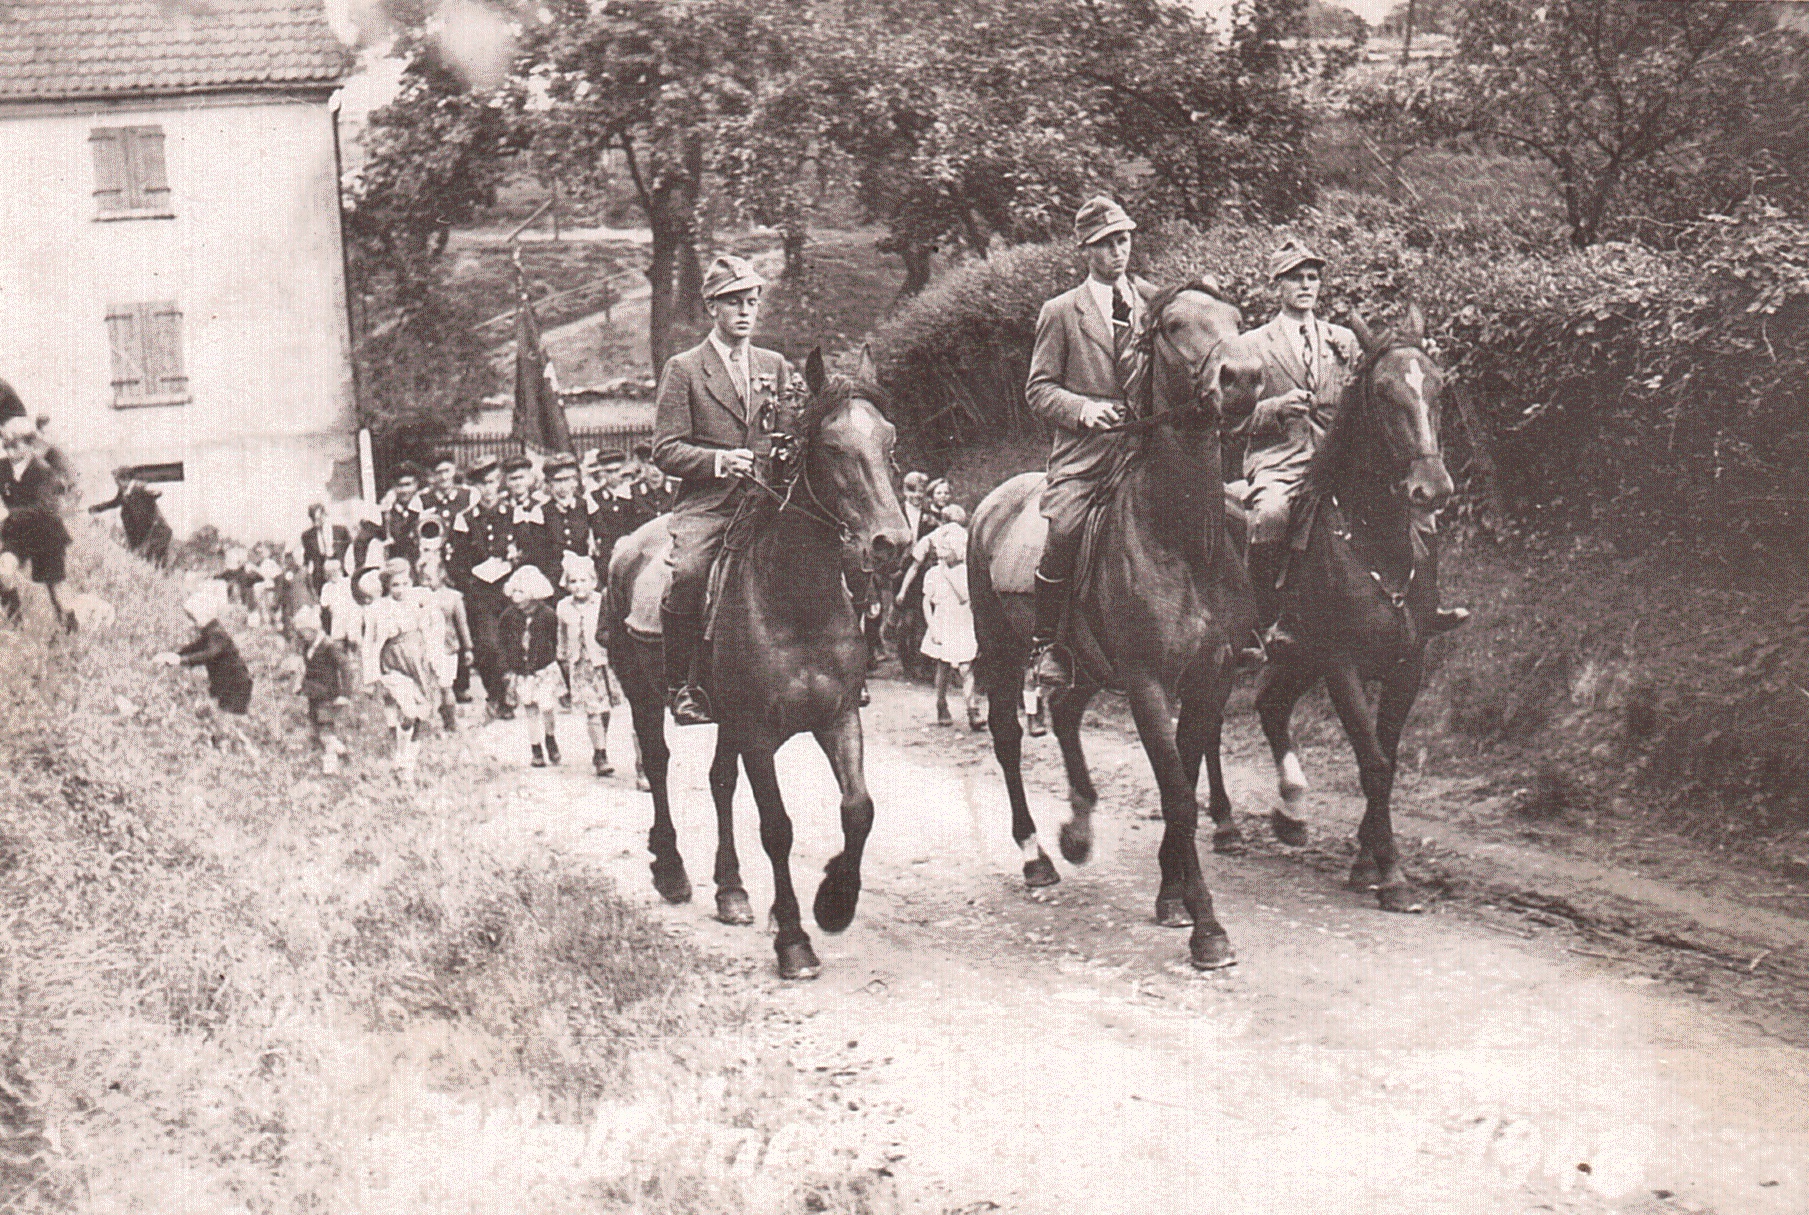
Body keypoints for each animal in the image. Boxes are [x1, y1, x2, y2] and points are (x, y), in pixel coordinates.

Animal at [611, 348, 918, 976]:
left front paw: (833, 902)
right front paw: (795, 940)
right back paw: (672, 870)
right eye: (831, 447)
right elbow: (777, 827)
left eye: (890, 439)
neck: (795, 597)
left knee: (719, 781)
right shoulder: (755, 730)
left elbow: (858, 809)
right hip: (645, 697)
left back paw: (732, 890)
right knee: (658, 765)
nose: (892, 545)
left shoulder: (837, 716)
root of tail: (627, 544)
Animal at [969, 280, 1266, 976]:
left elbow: (1186, 778)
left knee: (1064, 711)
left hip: (1088, 664)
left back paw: (1077, 830)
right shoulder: (1150, 685)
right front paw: (1207, 928)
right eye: (1174, 326)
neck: (1180, 536)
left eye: (1237, 318)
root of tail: (991, 502)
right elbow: (1177, 795)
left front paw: (1172, 894)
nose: (1242, 379)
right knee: (1007, 738)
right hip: (1002, 648)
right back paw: (1036, 856)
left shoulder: (1210, 679)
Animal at [1237, 303, 1461, 911]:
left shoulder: (1407, 666)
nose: (1432, 490)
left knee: (1270, 705)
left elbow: (1385, 759)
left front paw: (1367, 861)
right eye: (1382, 392)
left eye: (1437, 386)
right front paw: (1392, 874)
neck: (1374, 541)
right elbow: (1374, 763)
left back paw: (1290, 812)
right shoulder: (1341, 665)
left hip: (1296, 659)